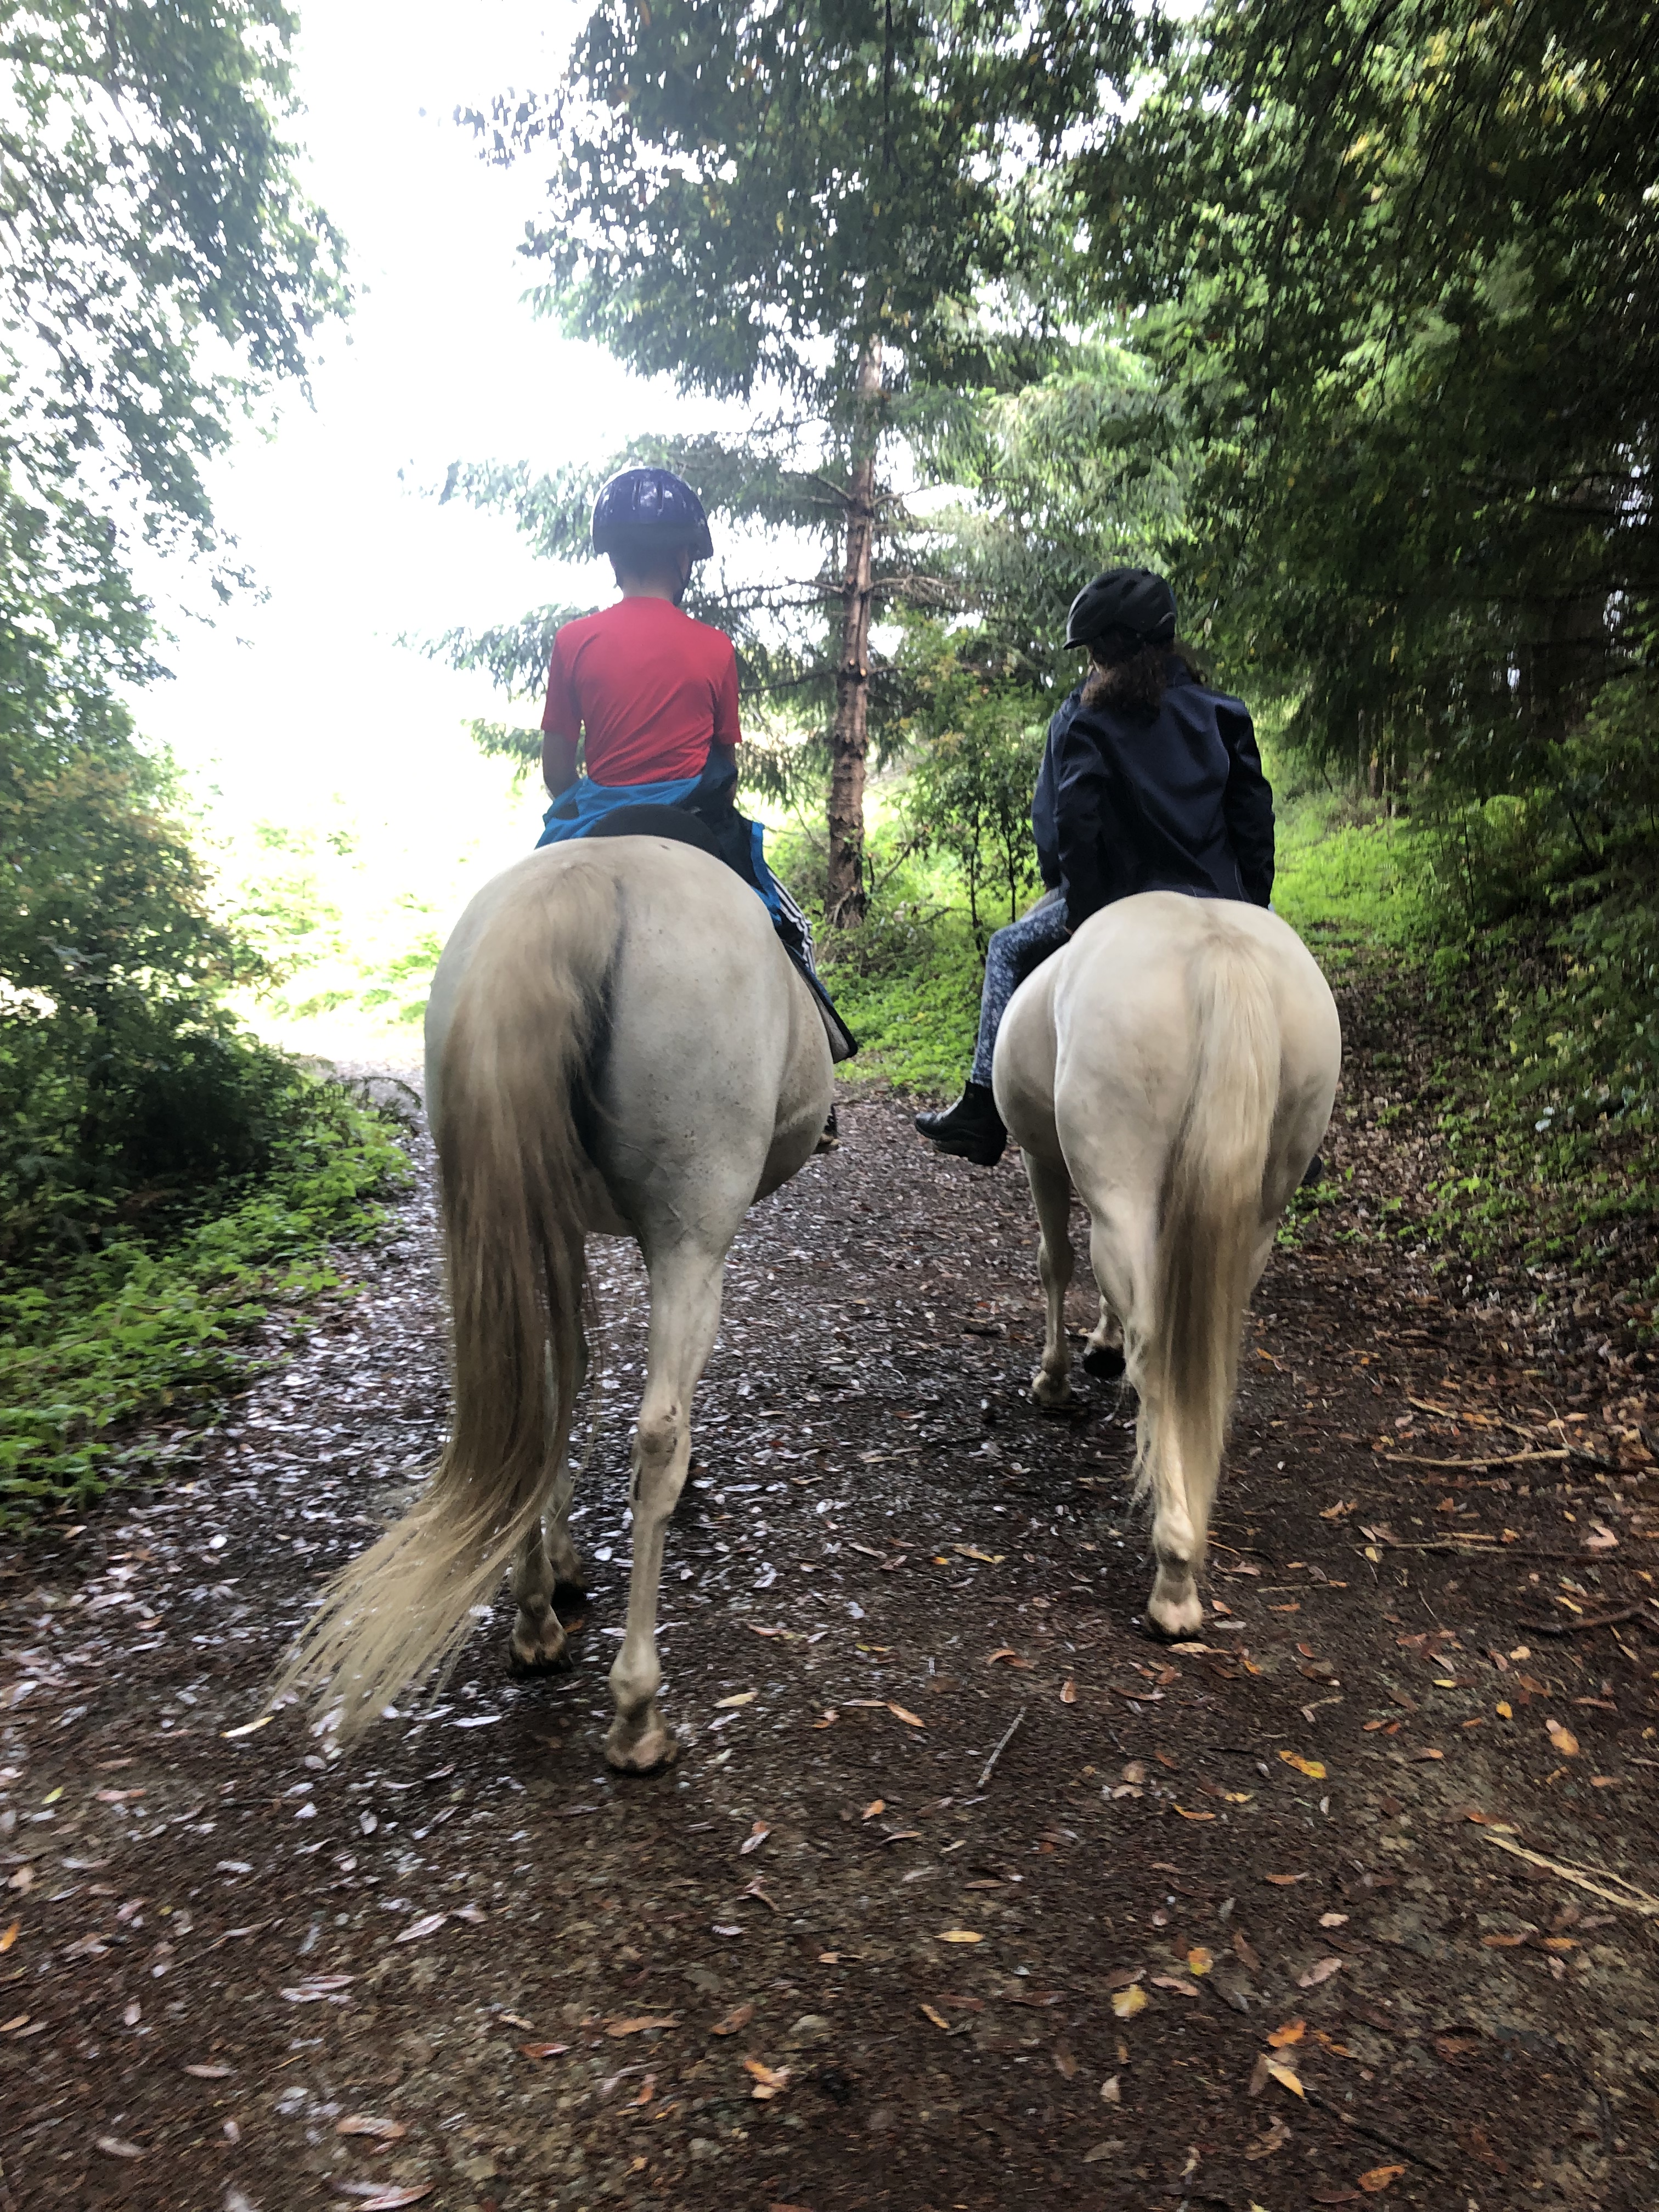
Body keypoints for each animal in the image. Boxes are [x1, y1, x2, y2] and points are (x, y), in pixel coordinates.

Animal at [276, 835, 836, 1771]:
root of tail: (589, 879)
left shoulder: (558, 1226)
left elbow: (562, 1378)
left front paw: (557, 1572)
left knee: (534, 1394)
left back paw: (536, 1620)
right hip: (692, 1236)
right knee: (657, 1431)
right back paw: (637, 1710)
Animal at [992, 890, 1341, 1639]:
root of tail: (1216, 947)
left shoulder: (1042, 1158)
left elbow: (1056, 1262)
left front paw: (1054, 1378)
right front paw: (1103, 1344)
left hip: (1119, 1181)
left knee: (1157, 1347)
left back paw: (1174, 1577)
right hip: (1260, 1209)